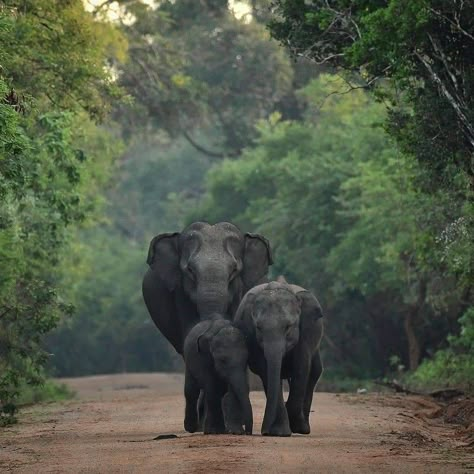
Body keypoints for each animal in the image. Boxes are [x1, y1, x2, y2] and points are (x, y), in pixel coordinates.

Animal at [232, 282, 324, 436]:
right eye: (258, 328)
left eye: (288, 327)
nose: (264, 431)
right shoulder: (252, 336)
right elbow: (265, 369)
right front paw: (280, 432)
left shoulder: (306, 333)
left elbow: (301, 367)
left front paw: (294, 427)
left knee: (314, 372)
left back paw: (303, 428)